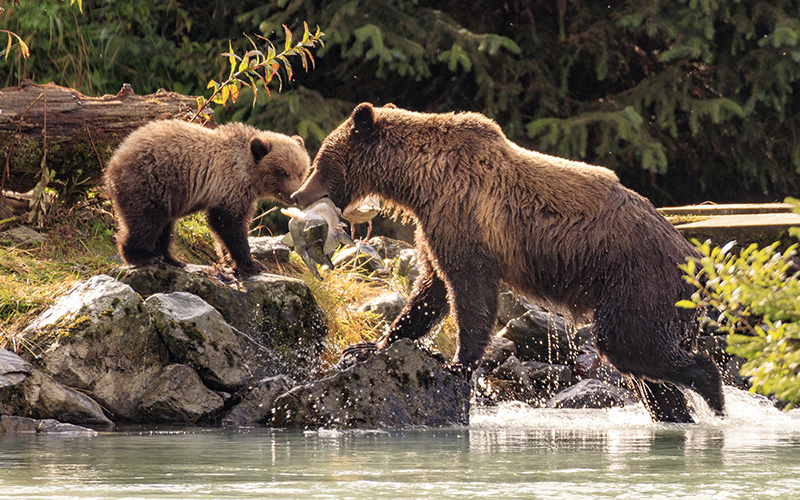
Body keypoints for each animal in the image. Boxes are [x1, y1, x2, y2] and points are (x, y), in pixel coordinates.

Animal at [104, 119, 310, 276]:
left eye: (301, 171)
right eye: (283, 172)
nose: (294, 195)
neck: (249, 174)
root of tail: (115, 158)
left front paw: (230, 259)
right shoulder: (230, 186)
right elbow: (229, 224)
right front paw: (252, 264)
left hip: (168, 194)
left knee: (165, 226)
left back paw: (172, 258)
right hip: (151, 180)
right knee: (146, 220)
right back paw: (143, 255)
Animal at [290, 101, 720, 422]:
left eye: (321, 161)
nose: (298, 194)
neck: (420, 180)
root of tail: (699, 261)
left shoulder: (462, 213)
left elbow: (469, 288)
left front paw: (457, 363)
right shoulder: (434, 224)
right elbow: (429, 291)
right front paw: (369, 346)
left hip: (638, 279)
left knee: (631, 343)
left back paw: (712, 391)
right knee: (646, 371)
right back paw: (677, 412)